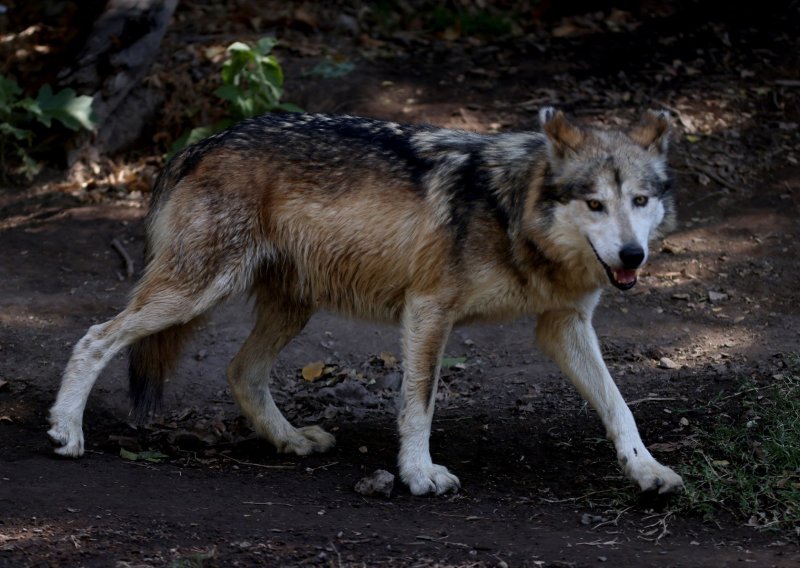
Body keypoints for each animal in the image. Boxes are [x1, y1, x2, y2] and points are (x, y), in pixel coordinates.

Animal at [50, 108, 684, 494]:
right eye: (595, 203)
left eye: (640, 199)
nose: (632, 256)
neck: (511, 212)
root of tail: (201, 143)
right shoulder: (428, 310)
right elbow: (419, 404)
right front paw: (419, 474)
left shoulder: (563, 325)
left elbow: (620, 406)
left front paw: (646, 470)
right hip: (195, 292)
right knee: (95, 337)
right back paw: (67, 432)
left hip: (288, 308)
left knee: (241, 371)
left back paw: (290, 441)